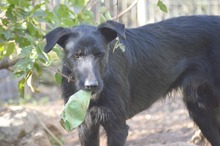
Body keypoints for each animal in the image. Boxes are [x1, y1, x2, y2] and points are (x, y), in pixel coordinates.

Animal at [43, 15, 220, 145]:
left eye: (100, 54)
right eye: (76, 55)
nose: (92, 86)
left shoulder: (117, 127)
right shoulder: (86, 127)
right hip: (201, 110)